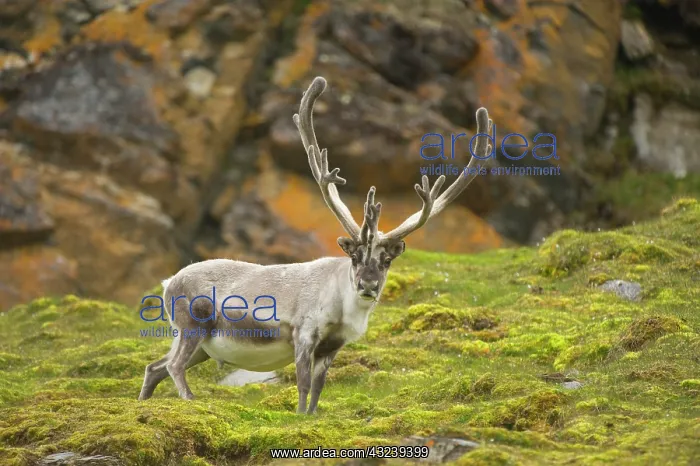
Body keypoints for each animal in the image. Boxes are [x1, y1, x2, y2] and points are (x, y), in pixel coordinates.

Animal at [138, 76, 493, 414]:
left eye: (386, 260)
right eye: (355, 256)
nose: (368, 285)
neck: (341, 308)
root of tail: (169, 282)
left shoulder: (332, 348)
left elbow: (319, 389)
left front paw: (311, 416)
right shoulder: (304, 334)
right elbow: (304, 384)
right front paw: (297, 416)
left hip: (204, 345)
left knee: (154, 367)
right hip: (191, 328)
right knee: (173, 365)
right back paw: (189, 400)